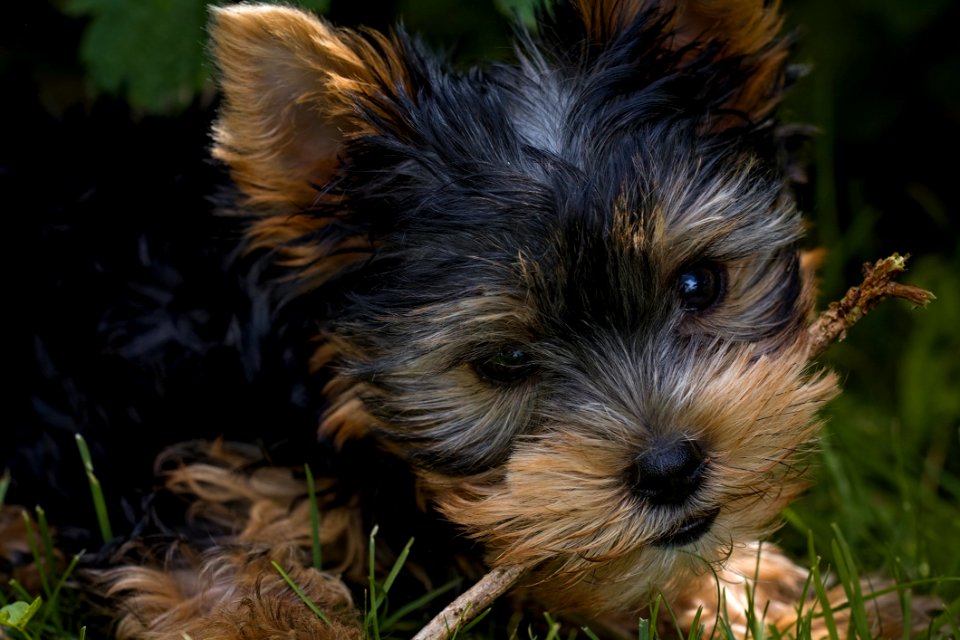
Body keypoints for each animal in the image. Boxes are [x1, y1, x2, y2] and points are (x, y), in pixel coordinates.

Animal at [0, 1, 928, 640]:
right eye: (505, 362)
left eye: (700, 284)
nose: (671, 469)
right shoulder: (181, 471)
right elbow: (227, 583)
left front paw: (796, 605)